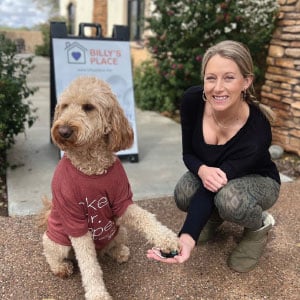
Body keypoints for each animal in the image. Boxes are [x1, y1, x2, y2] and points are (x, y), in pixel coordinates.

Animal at [40, 77, 179, 300]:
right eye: (65, 106)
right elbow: (89, 265)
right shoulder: (75, 221)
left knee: (110, 247)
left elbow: (145, 217)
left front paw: (167, 238)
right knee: (52, 254)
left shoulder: (122, 200)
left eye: (88, 107)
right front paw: (98, 293)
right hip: (57, 242)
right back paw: (61, 267)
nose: (62, 131)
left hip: (119, 231)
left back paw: (118, 251)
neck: (91, 167)